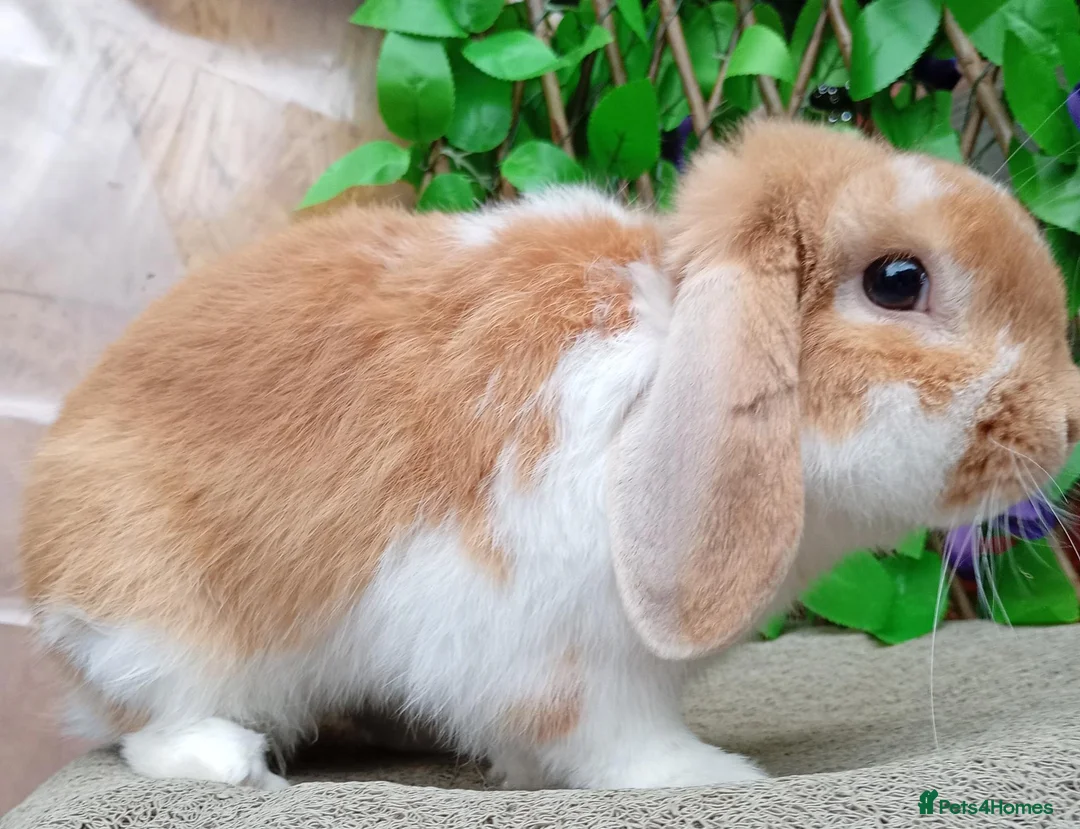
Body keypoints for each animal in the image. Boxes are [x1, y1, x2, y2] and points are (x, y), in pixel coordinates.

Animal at [19, 119, 1080, 792]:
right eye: (898, 280)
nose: (1069, 422)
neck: (667, 340)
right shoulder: (554, 652)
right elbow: (610, 739)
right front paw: (710, 773)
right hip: (155, 625)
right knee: (147, 724)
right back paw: (228, 759)